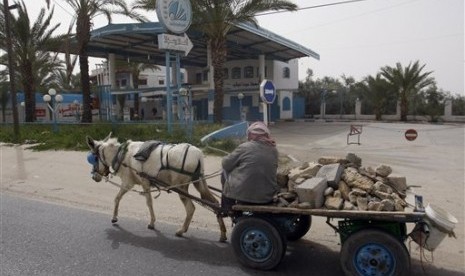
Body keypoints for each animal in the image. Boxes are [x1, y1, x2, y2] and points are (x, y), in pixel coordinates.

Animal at [86, 133, 227, 242]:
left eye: (94, 157)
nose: (94, 177)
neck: (122, 155)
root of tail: (199, 155)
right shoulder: (141, 183)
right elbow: (123, 199)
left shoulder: (132, 182)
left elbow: (126, 199)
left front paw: (151, 223)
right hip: (199, 182)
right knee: (215, 203)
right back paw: (223, 234)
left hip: (181, 187)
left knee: (191, 208)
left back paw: (181, 231)